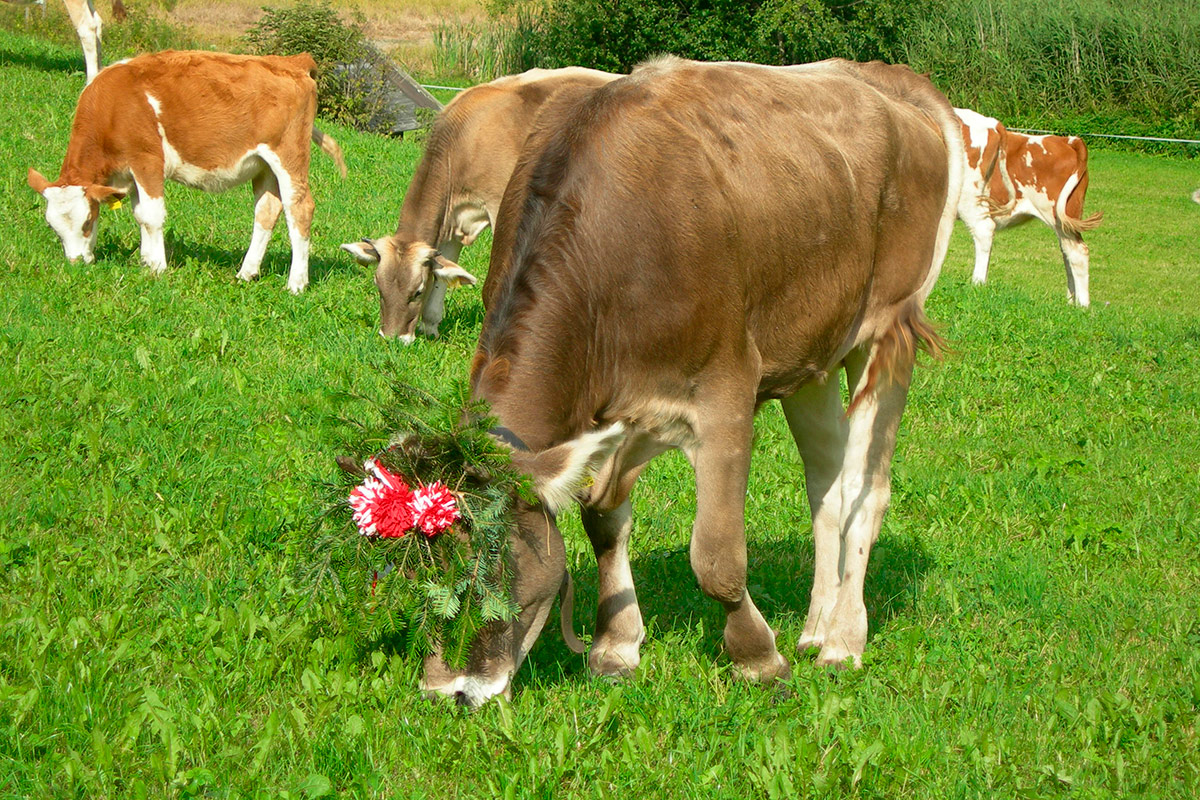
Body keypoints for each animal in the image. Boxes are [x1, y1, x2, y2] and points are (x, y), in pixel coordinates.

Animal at [27, 50, 346, 294]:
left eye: (87, 221)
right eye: (52, 227)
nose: (76, 263)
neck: (114, 107)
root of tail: (291, 61)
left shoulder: (146, 160)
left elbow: (152, 216)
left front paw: (158, 268)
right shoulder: (130, 174)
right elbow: (140, 215)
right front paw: (145, 261)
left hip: (289, 156)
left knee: (299, 209)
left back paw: (296, 284)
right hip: (264, 165)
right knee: (267, 210)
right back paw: (246, 273)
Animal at [340, 67, 618, 342]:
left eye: (416, 291)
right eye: (378, 286)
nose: (391, 339)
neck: (465, 140)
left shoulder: (499, 206)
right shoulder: (453, 217)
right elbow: (444, 270)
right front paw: (430, 326)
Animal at [415, 57, 964, 706]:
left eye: (488, 564)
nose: (443, 691)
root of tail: (885, 77)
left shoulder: (726, 390)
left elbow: (717, 557)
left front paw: (757, 657)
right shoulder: (613, 414)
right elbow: (602, 521)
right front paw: (616, 645)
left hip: (888, 331)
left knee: (865, 487)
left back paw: (842, 639)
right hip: (813, 354)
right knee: (825, 485)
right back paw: (815, 625)